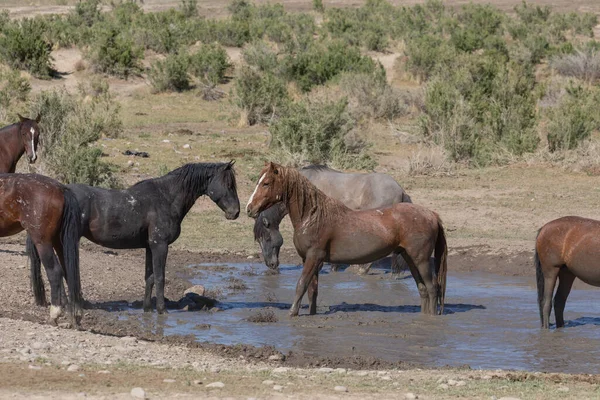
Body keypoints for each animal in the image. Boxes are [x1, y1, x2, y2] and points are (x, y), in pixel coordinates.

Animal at [0, 173, 82, 326]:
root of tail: (61, 189)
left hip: (43, 242)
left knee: (55, 272)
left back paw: (54, 314)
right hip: (58, 242)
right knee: (69, 272)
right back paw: (75, 314)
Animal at [28, 161, 239, 314]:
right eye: (228, 184)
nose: (235, 212)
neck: (166, 198)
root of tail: (60, 193)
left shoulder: (150, 247)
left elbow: (150, 278)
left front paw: (147, 308)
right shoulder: (160, 245)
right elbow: (160, 277)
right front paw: (162, 310)